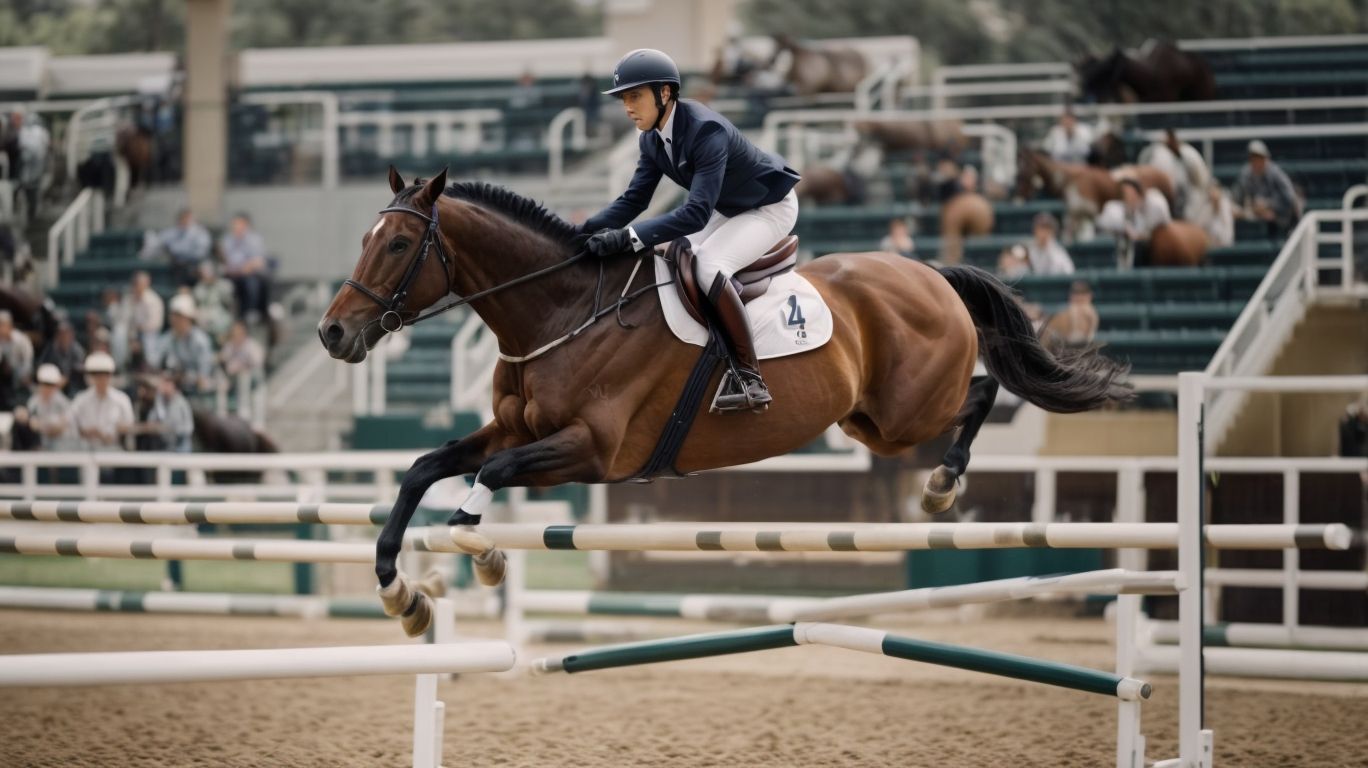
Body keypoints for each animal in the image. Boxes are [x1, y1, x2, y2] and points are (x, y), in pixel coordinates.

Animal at [318, 168, 1132, 635]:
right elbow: (424, 470)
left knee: (982, 391)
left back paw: (940, 486)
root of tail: (929, 272)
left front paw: (482, 555)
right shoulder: (512, 430)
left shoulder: (594, 452)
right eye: (363, 239)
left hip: (907, 414)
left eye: (397, 246)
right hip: (868, 420)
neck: (561, 313)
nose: (332, 333)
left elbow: (482, 481)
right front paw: (400, 594)